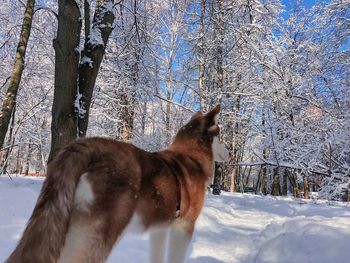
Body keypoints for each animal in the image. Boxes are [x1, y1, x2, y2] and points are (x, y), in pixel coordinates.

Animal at [6, 104, 230, 262]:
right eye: (221, 136)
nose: (230, 153)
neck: (191, 156)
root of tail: (89, 145)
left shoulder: (159, 229)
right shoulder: (184, 227)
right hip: (97, 236)